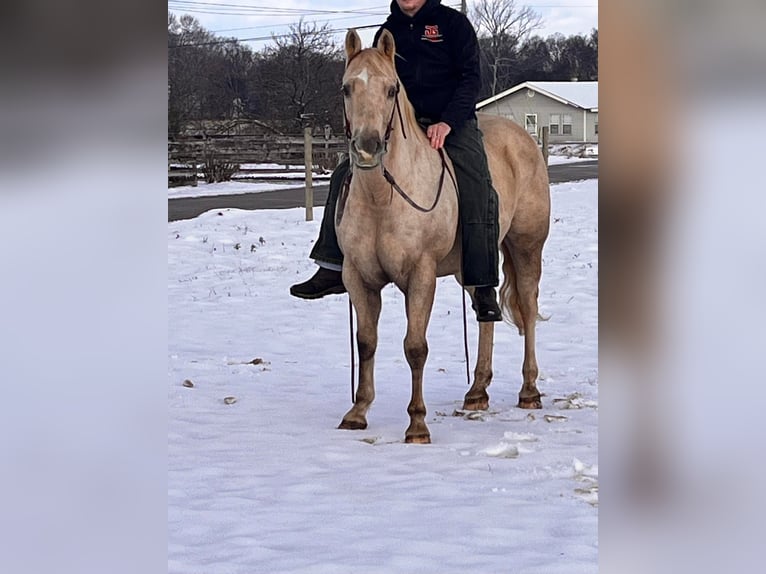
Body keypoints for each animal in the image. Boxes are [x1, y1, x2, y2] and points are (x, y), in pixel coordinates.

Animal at [335, 29, 550, 444]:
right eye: (346, 88)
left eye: (391, 89)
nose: (368, 148)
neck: (383, 198)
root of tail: (524, 139)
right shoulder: (359, 277)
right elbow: (366, 342)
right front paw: (357, 411)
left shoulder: (420, 276)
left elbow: (415, 346)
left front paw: (417, 424)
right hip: (473, 266)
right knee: (486, 315)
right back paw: (477, 391)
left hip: (526, 247)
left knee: (529, 309)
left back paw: (529, 390)